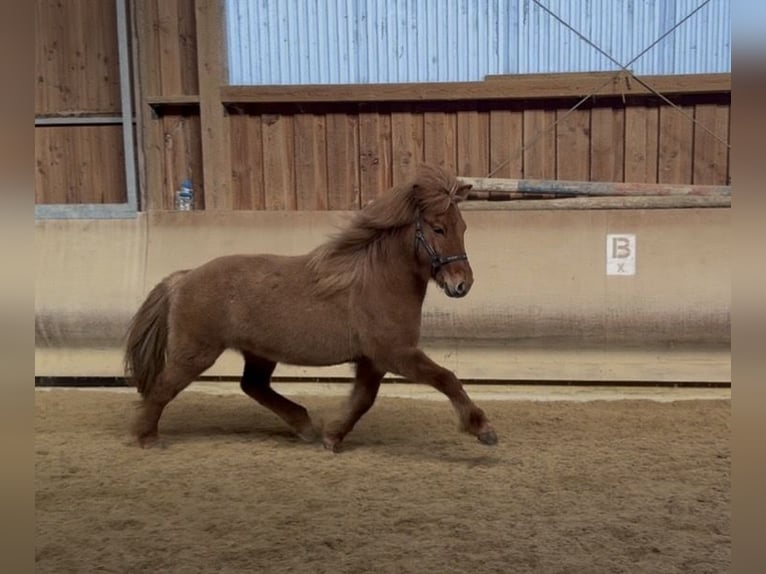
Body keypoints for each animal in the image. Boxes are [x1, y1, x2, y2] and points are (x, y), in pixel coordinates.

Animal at [124, 163, 498, 451]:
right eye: (438, 228)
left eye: (463, 227)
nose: (462, 284)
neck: (377, 282)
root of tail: (183, 279)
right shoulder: (396, 354)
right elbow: (446, 378)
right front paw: (482, 429)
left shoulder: (373, 360)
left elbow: (363, 400)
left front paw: (332, 437)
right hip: (195, 353)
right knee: (162, 388)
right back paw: (147, 438)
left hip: (259, 353)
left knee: (253, 386)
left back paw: (304, 425)